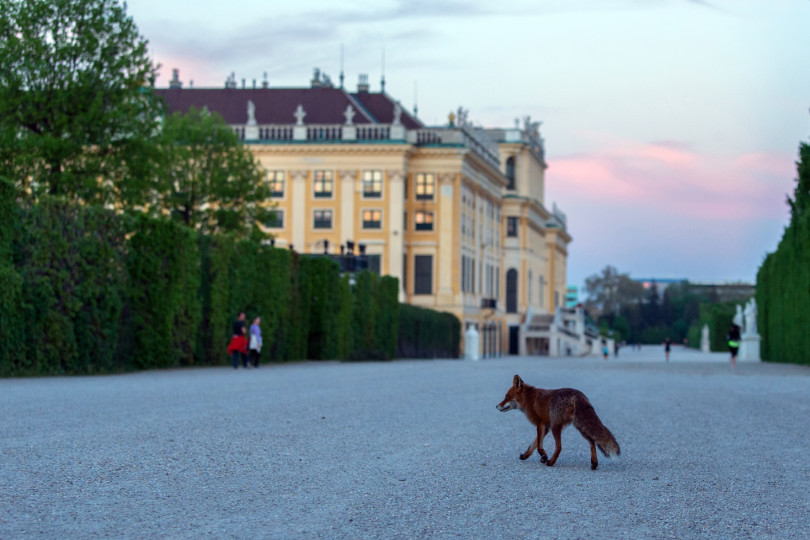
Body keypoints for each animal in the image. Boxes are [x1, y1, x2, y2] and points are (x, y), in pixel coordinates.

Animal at [492, 376, 620, 468]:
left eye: (507, 396)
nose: (496, 406)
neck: (529, 399)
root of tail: (579, 395)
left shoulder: (541, 424)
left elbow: (538, 446)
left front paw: (544, 457)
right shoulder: (546, 427)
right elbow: (533, 445)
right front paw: (525, 455)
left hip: (556, 426)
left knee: (559, 447)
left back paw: (551, 462)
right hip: (580, 427)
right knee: (592, 441)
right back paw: (594, 463)